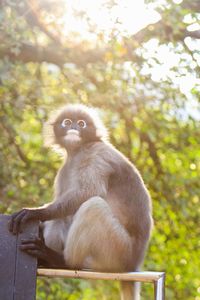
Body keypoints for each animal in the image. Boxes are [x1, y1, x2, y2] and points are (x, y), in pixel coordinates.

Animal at [8, 103, 152, 300]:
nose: (74, 127)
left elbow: (90, 192)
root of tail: (134, 264)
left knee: (93, 206)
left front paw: (34, 212)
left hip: (118, 252)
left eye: (82, 123)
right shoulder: (65, 168)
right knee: (63, 215)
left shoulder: (98, 154)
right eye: (67, 122)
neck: (78, 150)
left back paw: (62, 261)